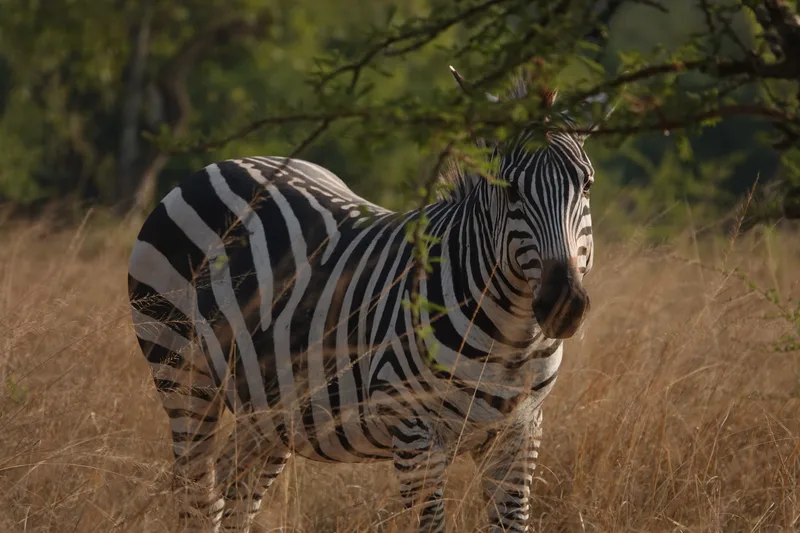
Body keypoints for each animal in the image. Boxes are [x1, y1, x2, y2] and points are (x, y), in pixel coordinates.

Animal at [128, 66, 609, 533]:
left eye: (586, 185)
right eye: (510, 190)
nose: (564, 304)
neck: (511, 341)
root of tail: (224, 163)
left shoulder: (521, 432)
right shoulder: (414, 432)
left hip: (270, 407)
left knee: (235, 492)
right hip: (181, 368)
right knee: (197, 496)